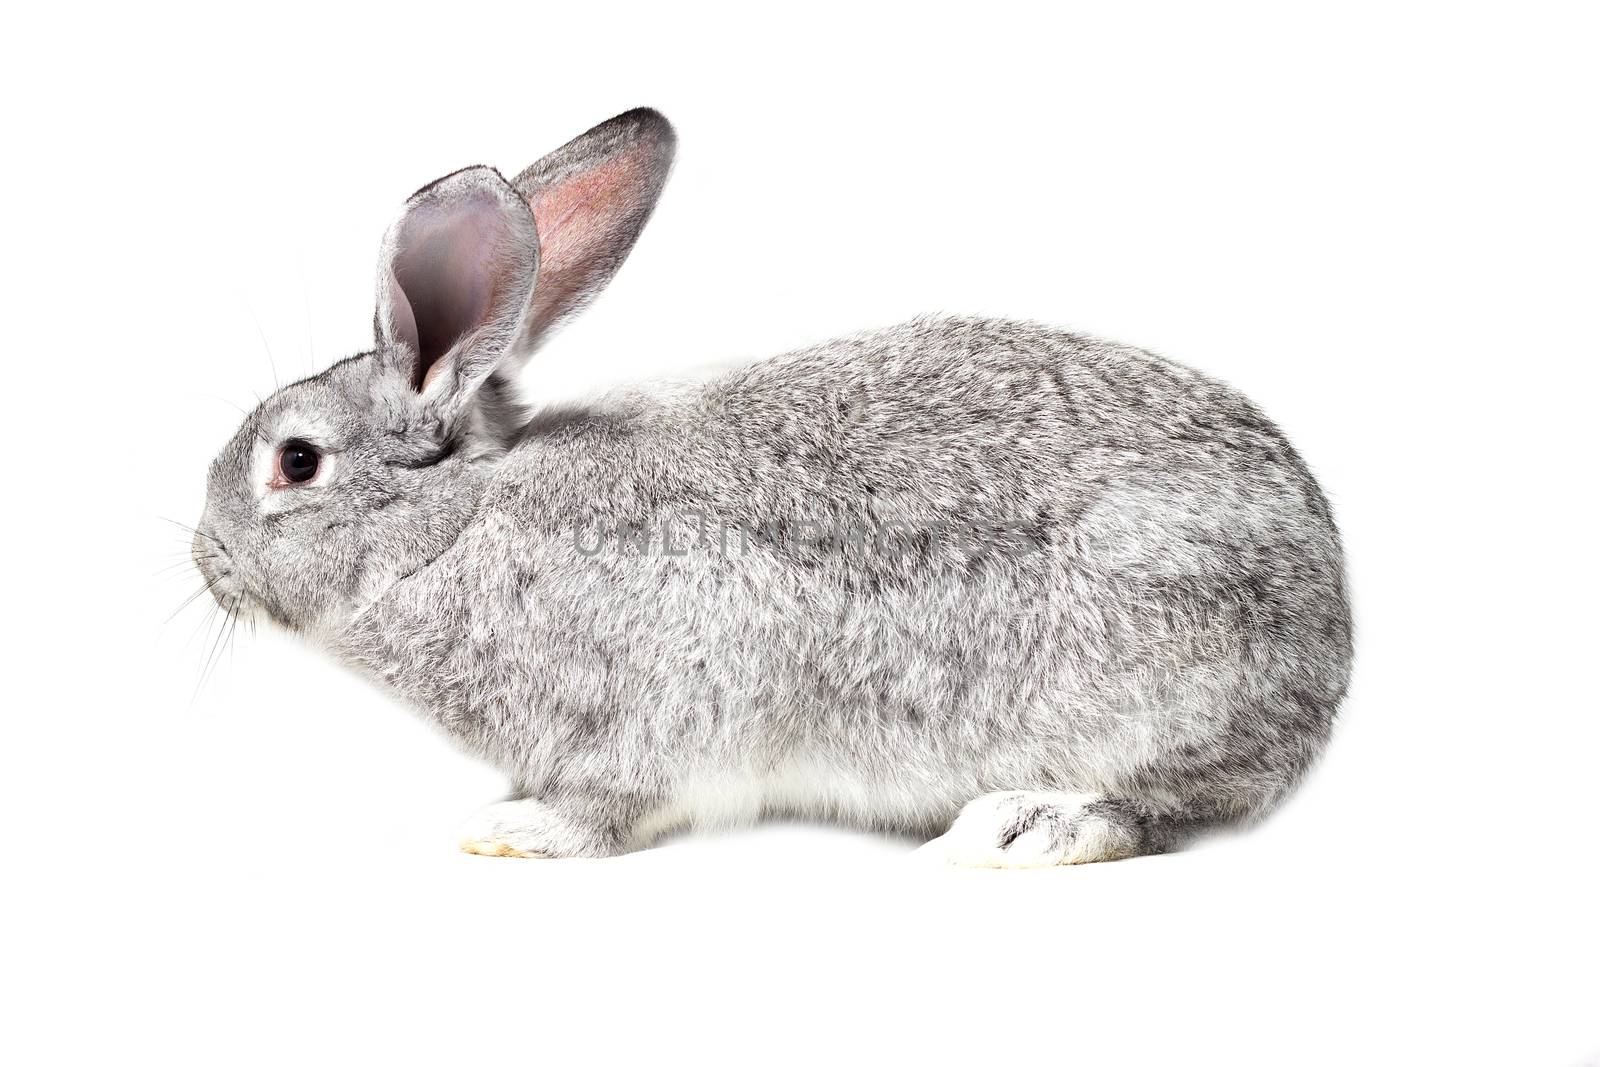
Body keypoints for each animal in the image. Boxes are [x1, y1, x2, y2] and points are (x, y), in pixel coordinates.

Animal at [196, 108, 1350, 863]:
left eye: (295, 461)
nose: (205, 555)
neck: (453, 527)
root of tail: (1331, 631)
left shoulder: (648, 712)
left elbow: (608, 804)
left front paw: (511, 826)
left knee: (1168, 803)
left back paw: (1027, 823)